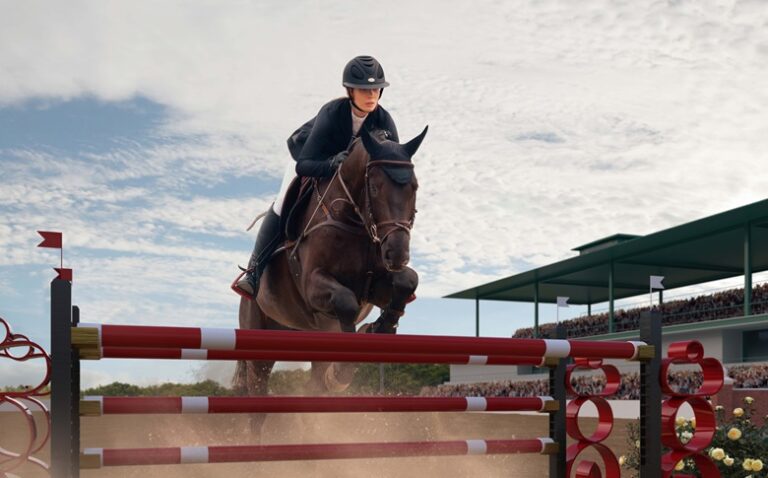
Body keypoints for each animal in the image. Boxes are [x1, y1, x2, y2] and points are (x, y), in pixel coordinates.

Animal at [233, 125, 428, 437]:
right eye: (374, 187)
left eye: (415, 187)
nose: (397, 254)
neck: (356, 221)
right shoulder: (315, 286)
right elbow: (345, 302)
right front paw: (343, 369)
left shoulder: (375, 286)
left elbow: (407, 282)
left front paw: (380, 328)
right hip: (259, 336)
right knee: (257, 400)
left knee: (313, 386)